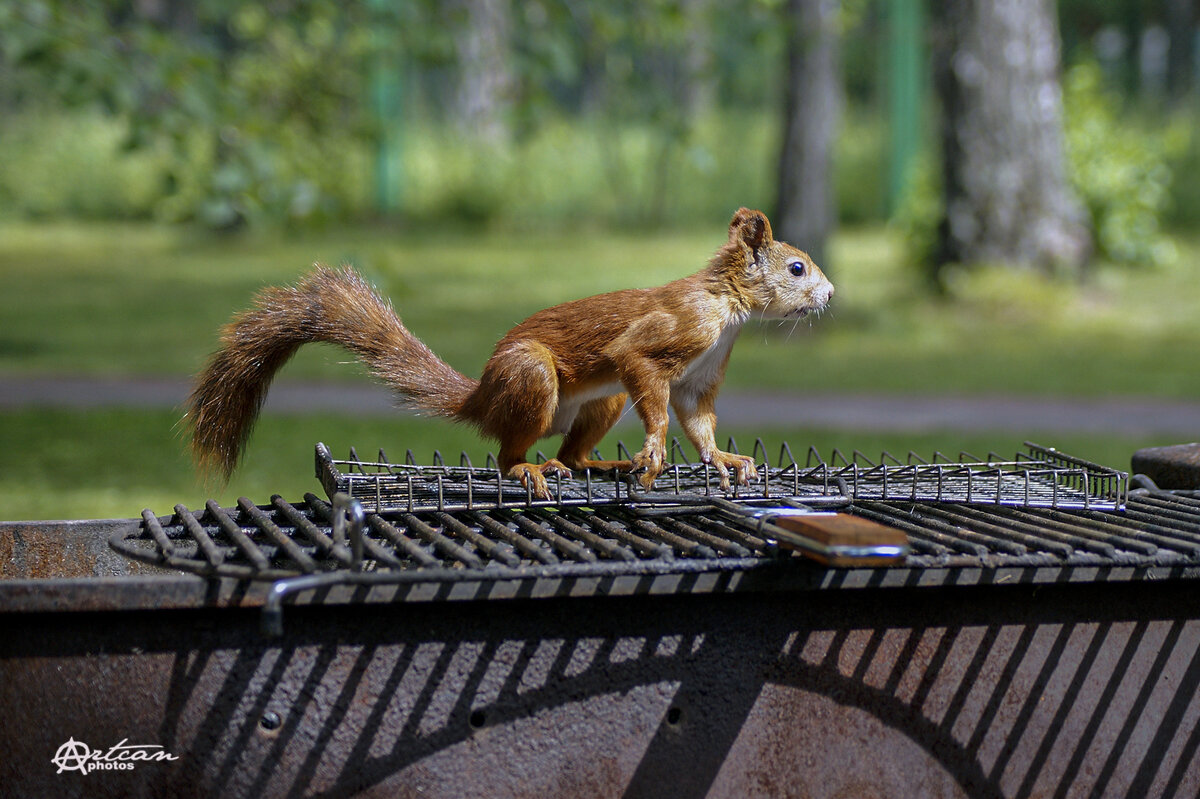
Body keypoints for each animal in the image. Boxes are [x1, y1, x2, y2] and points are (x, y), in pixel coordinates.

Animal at [187, 205, 835, 494]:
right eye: (797, 268)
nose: (830, 294)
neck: (726, 308)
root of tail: (481, 399)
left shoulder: (701, 375)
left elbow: (698, 421)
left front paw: (723, 459)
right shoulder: (668, 335)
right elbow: (644, 378)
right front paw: (653, 451)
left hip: (598, 403)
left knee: (574, 453)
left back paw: (596, 463)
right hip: (532, 377)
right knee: (507, 455)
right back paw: (530, 467)